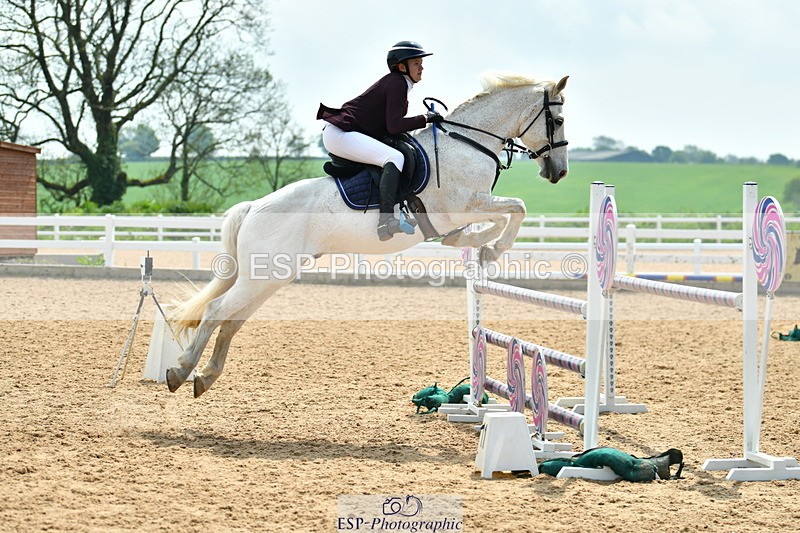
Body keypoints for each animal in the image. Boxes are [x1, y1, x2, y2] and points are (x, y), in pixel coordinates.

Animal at [166, 72, 570, 397]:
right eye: (559, 120)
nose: (560, 172)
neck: (468, 143)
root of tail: (252, 207)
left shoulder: (470, 208)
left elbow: (503, 216)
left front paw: (476, 246)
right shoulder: (466, 205)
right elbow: (517, 208)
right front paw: (491, 250)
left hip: (270, 276)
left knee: (231, 320)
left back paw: (205, 376)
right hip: (260, 276)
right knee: (216, 311)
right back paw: (180, 370)